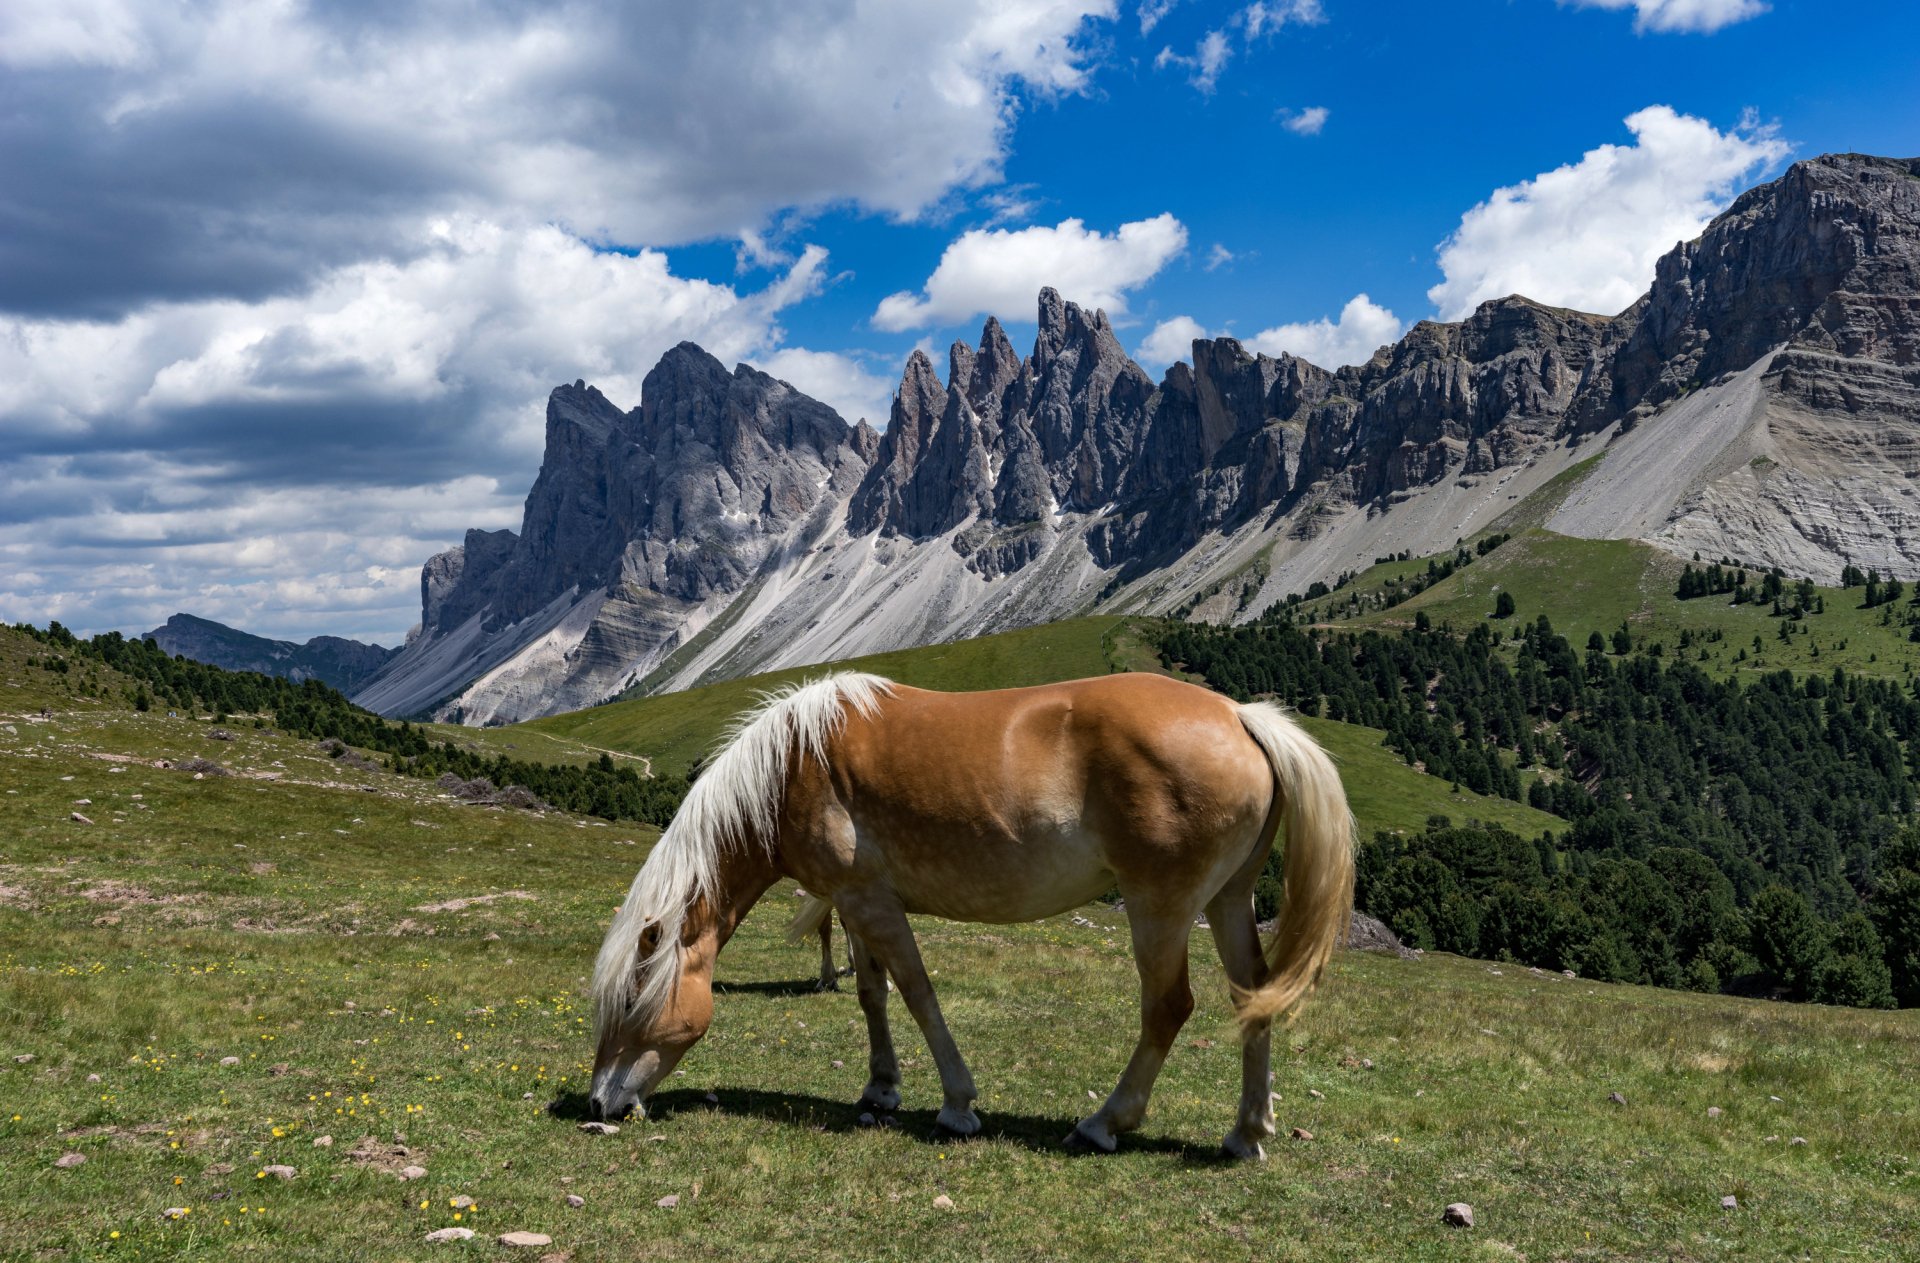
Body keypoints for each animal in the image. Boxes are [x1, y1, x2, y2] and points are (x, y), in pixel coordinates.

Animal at [588, 671, 1354, 1159]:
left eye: (631, 999)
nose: (597, 1105)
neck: (795, 767)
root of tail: (1239, 716)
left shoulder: (870, 901)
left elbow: (918, 993)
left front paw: (957, 1104)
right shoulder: (856, 901)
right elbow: (873, 994)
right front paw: (881, 1088)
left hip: (1159, 909)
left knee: (1168, 1007)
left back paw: (1104, 1122)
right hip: (1227, 902)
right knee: (1253, 996)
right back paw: (1247, 1132)